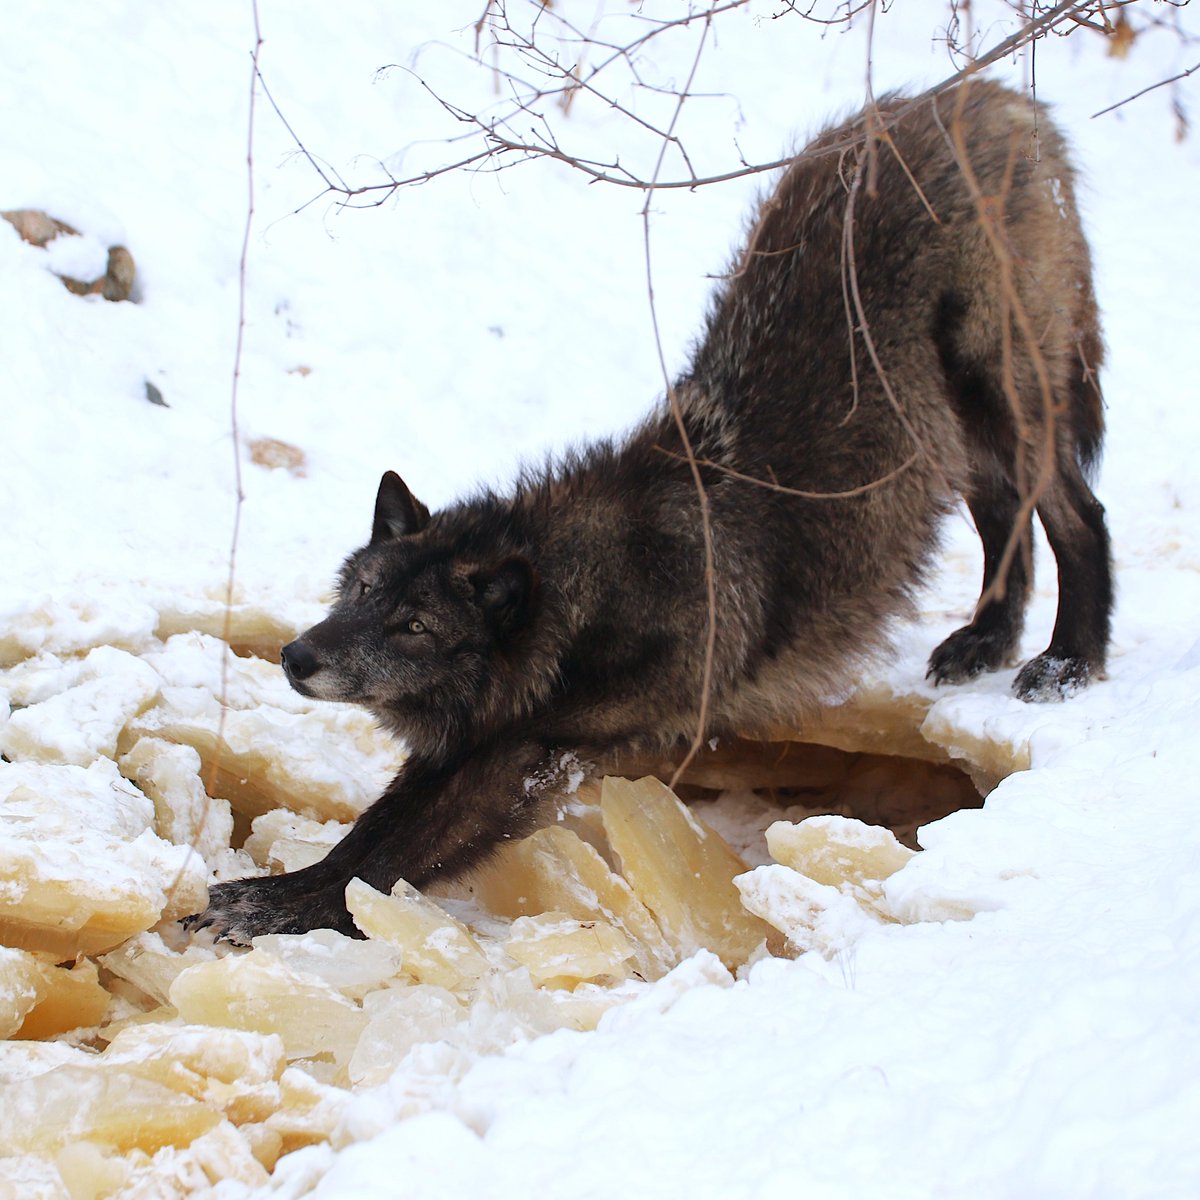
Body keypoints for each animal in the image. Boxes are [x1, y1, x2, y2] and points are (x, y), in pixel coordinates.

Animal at [190, 79, 1112, 940]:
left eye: (414, 625)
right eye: (359, 592)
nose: (296, 656)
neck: (587, 597)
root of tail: (980, 93)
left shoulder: (529, 751)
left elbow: (392, 852)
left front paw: (277, 909)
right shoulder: (482, 741)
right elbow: (371, 832)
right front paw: (285, 890)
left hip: (999, 386)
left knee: (1078, 513)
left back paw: (1067, 662)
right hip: (960, 428)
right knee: (1007, 512)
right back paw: (985, 641)